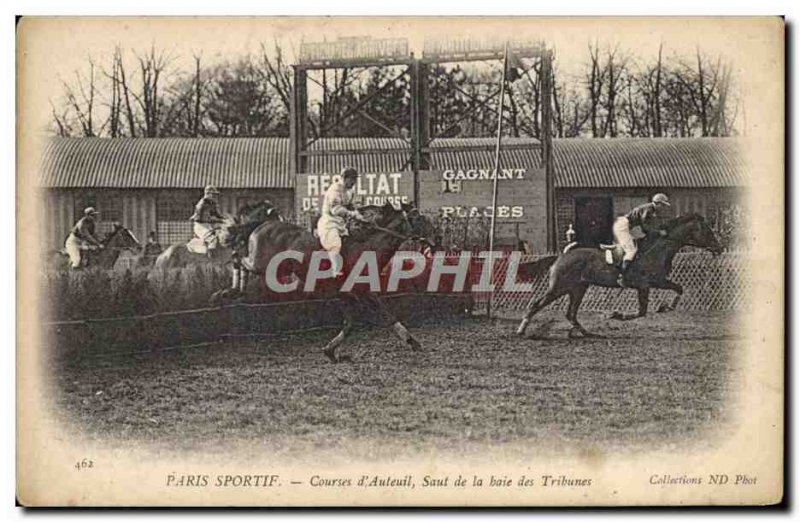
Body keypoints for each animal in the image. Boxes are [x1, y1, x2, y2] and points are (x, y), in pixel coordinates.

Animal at [214, 200, 438, 362]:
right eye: (418, 218)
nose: (436, 240)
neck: (366, 248)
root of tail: (264, 223)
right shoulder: (362, 293)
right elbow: (387, 315)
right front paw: (412, 341)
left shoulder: (347, 296)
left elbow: (349, 325)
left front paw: (330, 351)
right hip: (263, 263)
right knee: (239, 258)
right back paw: (224, 292)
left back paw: (232, 292)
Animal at [512, 212, 724, 338]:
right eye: (708, 231)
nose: (720, 248)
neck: (658, 248)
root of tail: (561, 255)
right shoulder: (645, 284)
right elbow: (642, 311)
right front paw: (614, 314)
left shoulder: (658, 281)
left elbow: (679, 289)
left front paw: (666, 307)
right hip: (559, 287)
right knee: (537, 304)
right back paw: (521, 329)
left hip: (578, 288)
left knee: (571, 313)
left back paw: (587, 333)